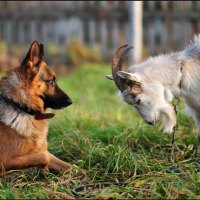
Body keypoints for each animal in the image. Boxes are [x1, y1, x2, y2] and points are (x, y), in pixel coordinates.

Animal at [0, 40, 72, 172]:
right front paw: (45, 169)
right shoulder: (4, 160)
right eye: (51, 82)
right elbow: (44, 157)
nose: (71, 101)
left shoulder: (43, 150)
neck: (21, 107)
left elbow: (71, 166)